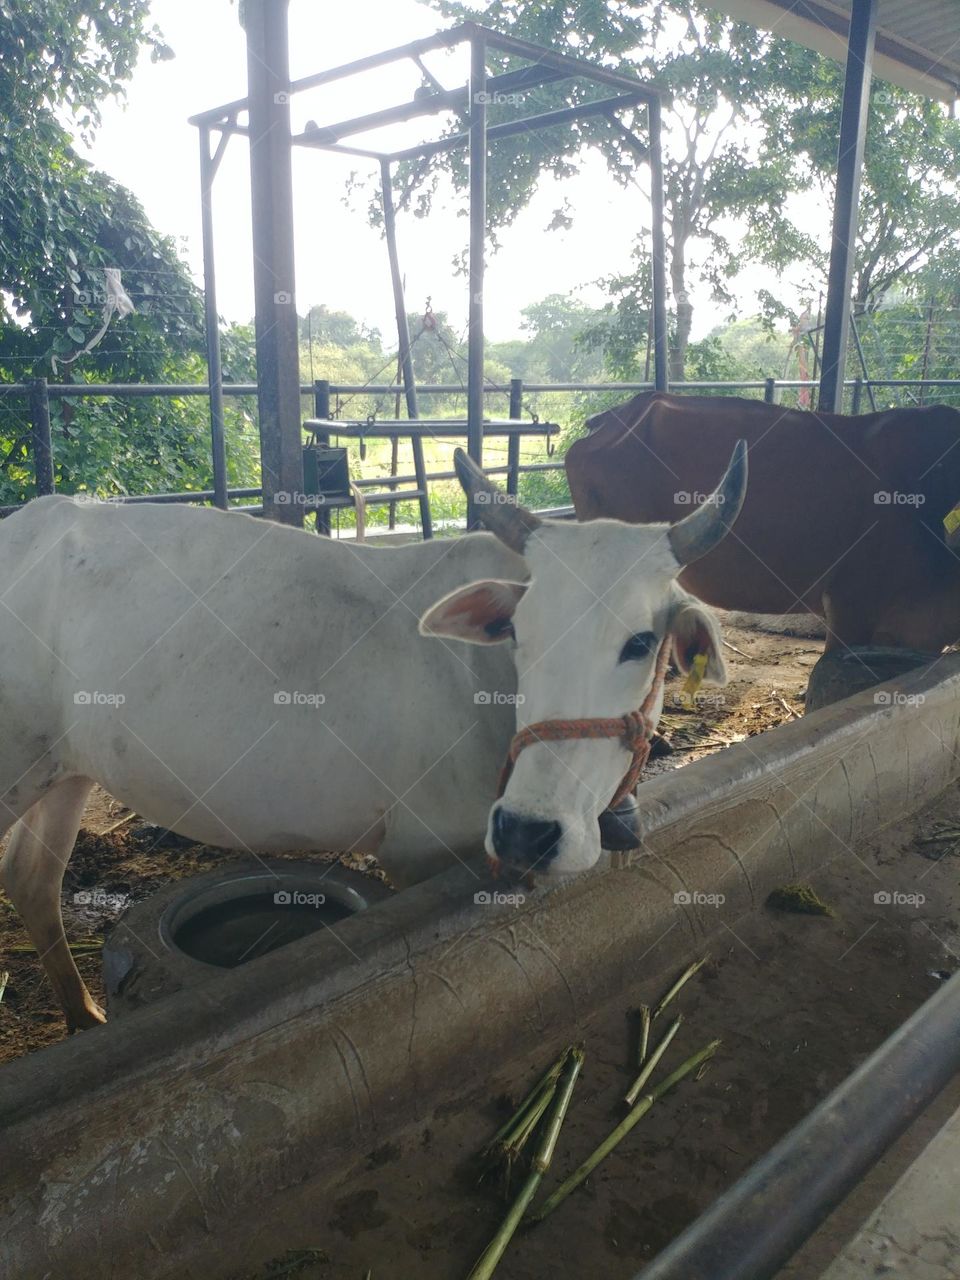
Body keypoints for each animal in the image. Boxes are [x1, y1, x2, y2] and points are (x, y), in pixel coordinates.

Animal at [0, 446, 745, 1031]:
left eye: (641, 642)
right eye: (519, 634)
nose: (527, 832)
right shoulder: (420, 853)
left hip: (63, 767)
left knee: (31, 880)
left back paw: (83, 1015)